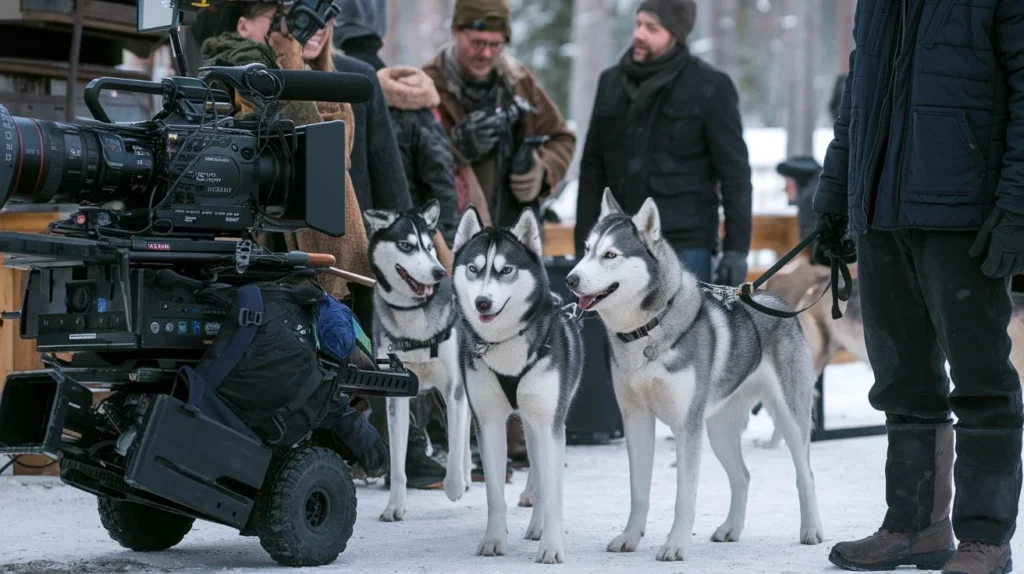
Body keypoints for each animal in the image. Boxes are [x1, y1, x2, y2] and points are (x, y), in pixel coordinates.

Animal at [364, 199, 471, 521]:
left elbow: (455, 444)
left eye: (429, 246)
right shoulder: (396, 395)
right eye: (406, 246)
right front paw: (394, 506)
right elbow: (398, 461)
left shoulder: (454, 391)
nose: (438, 272)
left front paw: (454, 485)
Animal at [450, 205, 585, 564]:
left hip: (542, 422)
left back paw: (538, 527)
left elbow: (551, 492)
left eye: (506, 270)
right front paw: (494, 540)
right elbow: (495, 494)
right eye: (473, 268)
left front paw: (551, 546)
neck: (506, 343)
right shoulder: (488, 422)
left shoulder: (549, 422)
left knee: (541, 477)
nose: (482, 302)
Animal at [565, 188, 827, 560]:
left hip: (788, 416)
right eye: (587, 249)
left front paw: (675, 545)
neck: (646, 331)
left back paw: (812, 530)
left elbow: (684, 497)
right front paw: (630, 537)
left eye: (610, 254)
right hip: (717, 429)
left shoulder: (686, 426)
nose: (570, 279)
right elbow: (638, 491)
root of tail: (773, 299)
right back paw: (731, 529)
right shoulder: (635, 419)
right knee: (743, 476)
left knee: (805, 474)